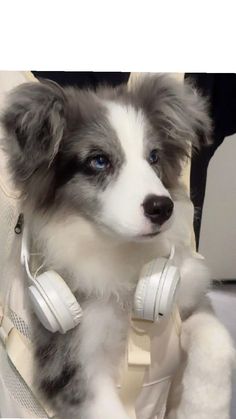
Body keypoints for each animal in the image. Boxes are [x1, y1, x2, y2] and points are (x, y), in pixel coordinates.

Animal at [1, 75, 234, 419]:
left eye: (154, 156)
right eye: (99, 160)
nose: (162, 208)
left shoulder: (188, 300)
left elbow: (217, 342)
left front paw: (204, 409)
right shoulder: (72, 363)